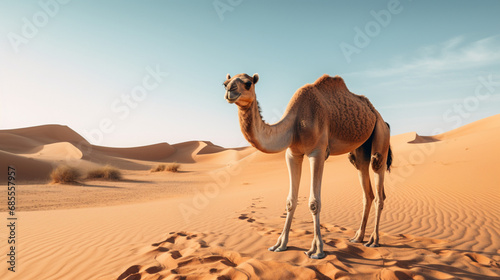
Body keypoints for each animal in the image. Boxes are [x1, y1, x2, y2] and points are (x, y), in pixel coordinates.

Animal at [225, 73, 392, 260]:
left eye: (247, 83)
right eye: (225, 82)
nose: (229, 91)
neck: (295, 123)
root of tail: (381, 118)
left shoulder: (317, 152)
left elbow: (314, 202)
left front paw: (317, 250)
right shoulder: (292, 154)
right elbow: (290, 201)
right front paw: (280, 245)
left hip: (381, 136)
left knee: (379, 187)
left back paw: (374, 240)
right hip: (360, 149)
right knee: (366, 189)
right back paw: (358, 237)